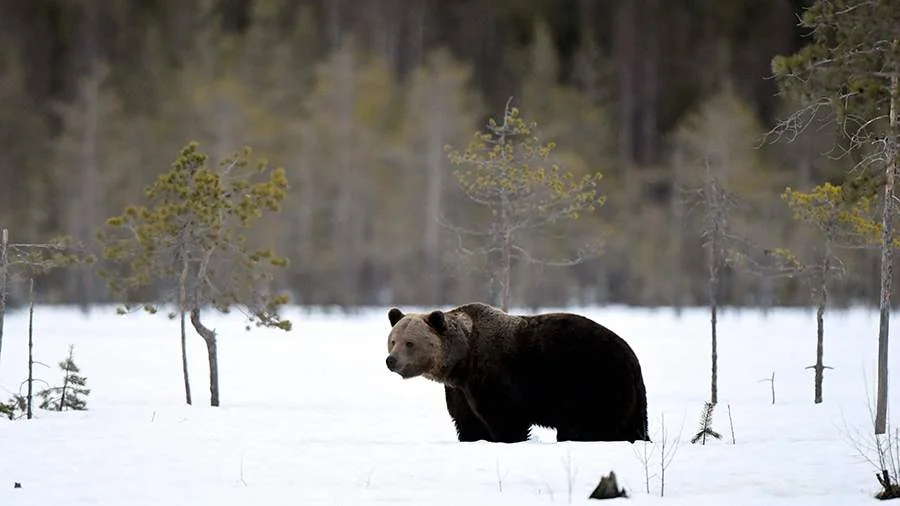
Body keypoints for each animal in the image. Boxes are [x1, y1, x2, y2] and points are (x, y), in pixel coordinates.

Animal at [384, 300, 652, 442]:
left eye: (410, 343)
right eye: (393, 340)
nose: (391, 360)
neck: (462, 361)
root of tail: (632, 357)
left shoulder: (495, 376)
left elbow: (505, 418)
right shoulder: (459, 391)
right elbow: (467, 422)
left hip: (592, 383)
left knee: (586, 424)